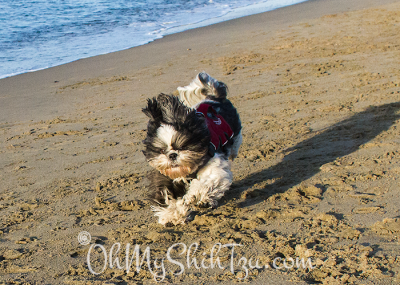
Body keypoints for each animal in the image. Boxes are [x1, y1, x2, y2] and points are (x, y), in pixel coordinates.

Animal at [142, 71, 242, 224]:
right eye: (161, 150)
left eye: (183, 146)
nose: (172, 155)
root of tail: (212, 99)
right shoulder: (164, 177)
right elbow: (166, 196)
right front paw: (172, 215)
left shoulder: (214, 167)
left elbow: (205, 183)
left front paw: (195, 196)